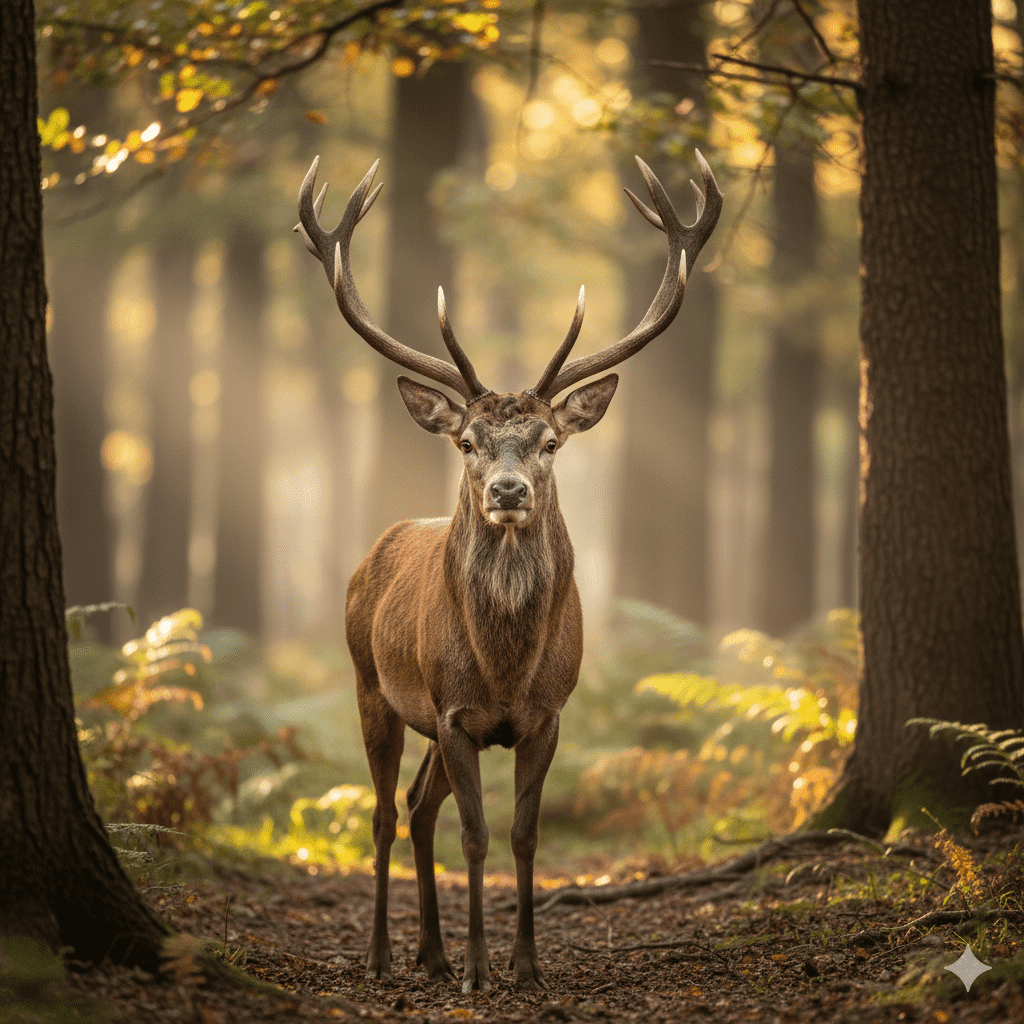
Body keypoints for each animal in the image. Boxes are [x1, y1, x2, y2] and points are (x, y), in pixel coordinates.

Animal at [294, 151, 721, 993]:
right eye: (467, 441)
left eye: (549, 441)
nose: (508, 491)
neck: (505, 665)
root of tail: (373, 552)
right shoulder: (457, 711)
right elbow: (476, 837)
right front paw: (478, 968)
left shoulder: (547, 715)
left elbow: (523, 835)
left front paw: (525, 965)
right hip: (371, 683)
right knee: (387, 812)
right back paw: (385, 955)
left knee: (417, 806)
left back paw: (427, 953)